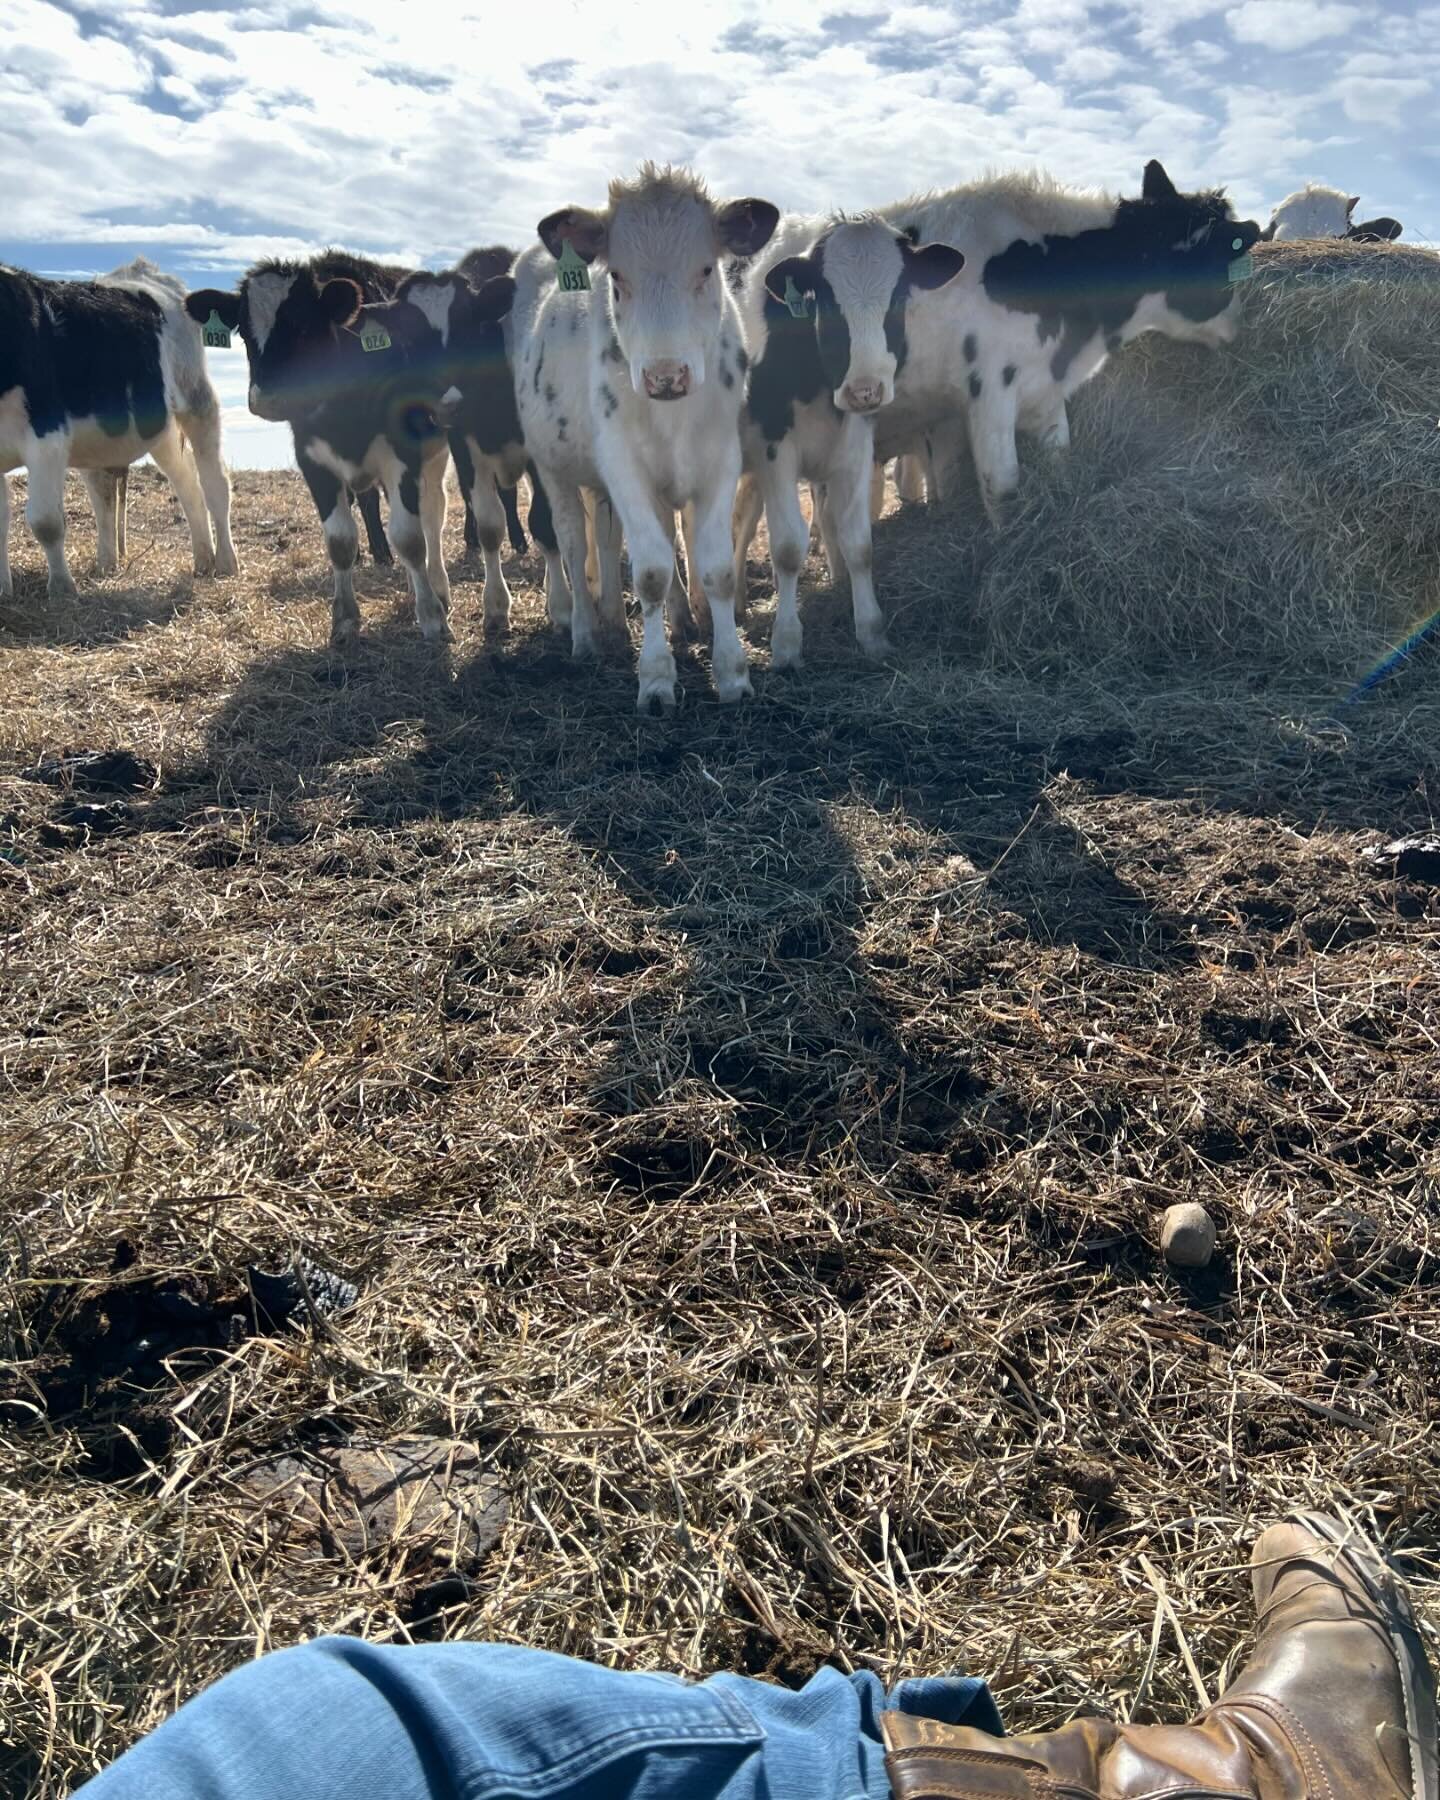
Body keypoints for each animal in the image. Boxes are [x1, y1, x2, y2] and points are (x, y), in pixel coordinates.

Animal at [1, 257, 235, 601]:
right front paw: (3, 589)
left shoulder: (47, 434)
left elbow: (46, 521)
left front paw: (62, 589)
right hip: (161, 430)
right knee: (183, 484)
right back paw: (195, 560)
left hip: (198, 401)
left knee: (214, 482)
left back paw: (227, 563)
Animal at [507, 162, 777, 709]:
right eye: (616, 276)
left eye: (706, 269)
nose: (665, 375)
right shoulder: (623, 468)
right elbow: (651, 572)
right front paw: (655, 678)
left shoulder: (719, 462)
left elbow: (715, 568)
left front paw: (732, 671)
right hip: (553, 468)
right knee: (573, 544)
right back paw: (586, 633)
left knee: (616, 541)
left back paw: (640, 620)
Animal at [738, 216, 964, 669]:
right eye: (825, 300)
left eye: (899, 296)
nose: (865, 390)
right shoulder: (774, 451)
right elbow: (787, 547)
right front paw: (786, 644)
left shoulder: (856, 447)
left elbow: (859, 543)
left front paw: (872, 633)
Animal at [867, 158, 1260, 525]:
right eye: (1224, 262)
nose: (1239, 323)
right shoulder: (988, 390)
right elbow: (1003, 490)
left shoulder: (1045, 387)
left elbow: (1060, 458)